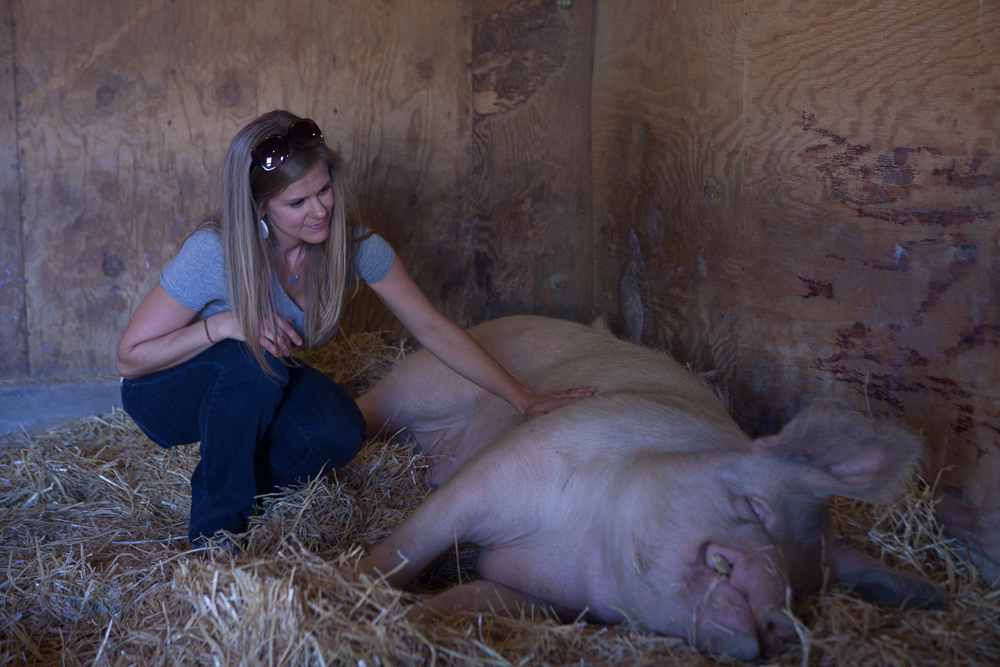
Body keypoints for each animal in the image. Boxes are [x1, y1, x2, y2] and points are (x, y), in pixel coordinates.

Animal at [358, 316, 944, 660]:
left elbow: (471, 597)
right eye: (756, 508)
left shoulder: (538, 596)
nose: (780, 623)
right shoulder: (514, 464)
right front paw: (355, 590)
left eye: (806, 585)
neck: (584, 547)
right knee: (373, 407)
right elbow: (408, 546)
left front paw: (411, 618)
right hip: (422, 382)